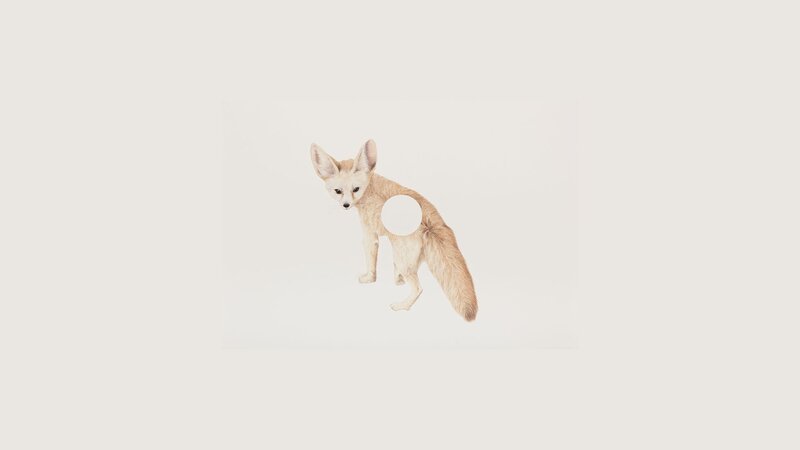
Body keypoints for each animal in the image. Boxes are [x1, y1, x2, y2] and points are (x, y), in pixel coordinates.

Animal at [310, 139, 478, 321]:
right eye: (338, 191)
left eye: (356, 189)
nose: (346, 205)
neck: (370, 188)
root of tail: (427, 220)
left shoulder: (370, 235)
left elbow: (370, 263)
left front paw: (369, 279)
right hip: (404, 256)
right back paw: (398, 280)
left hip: (401, 257)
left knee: (418, 288)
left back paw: (401, 306)